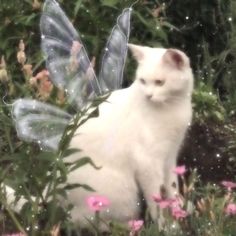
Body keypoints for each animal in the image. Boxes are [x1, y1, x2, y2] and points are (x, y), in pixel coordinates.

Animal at [66, 43, 194, 227]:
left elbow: (172, 189)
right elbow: (156, 200)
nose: (148, 95)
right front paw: (165, 226)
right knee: (81, 219)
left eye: (160, 82)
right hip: (123, 194)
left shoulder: (170, 156)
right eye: (142, 81)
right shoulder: (147, 162)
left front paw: (177, 215)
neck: (172, 107)